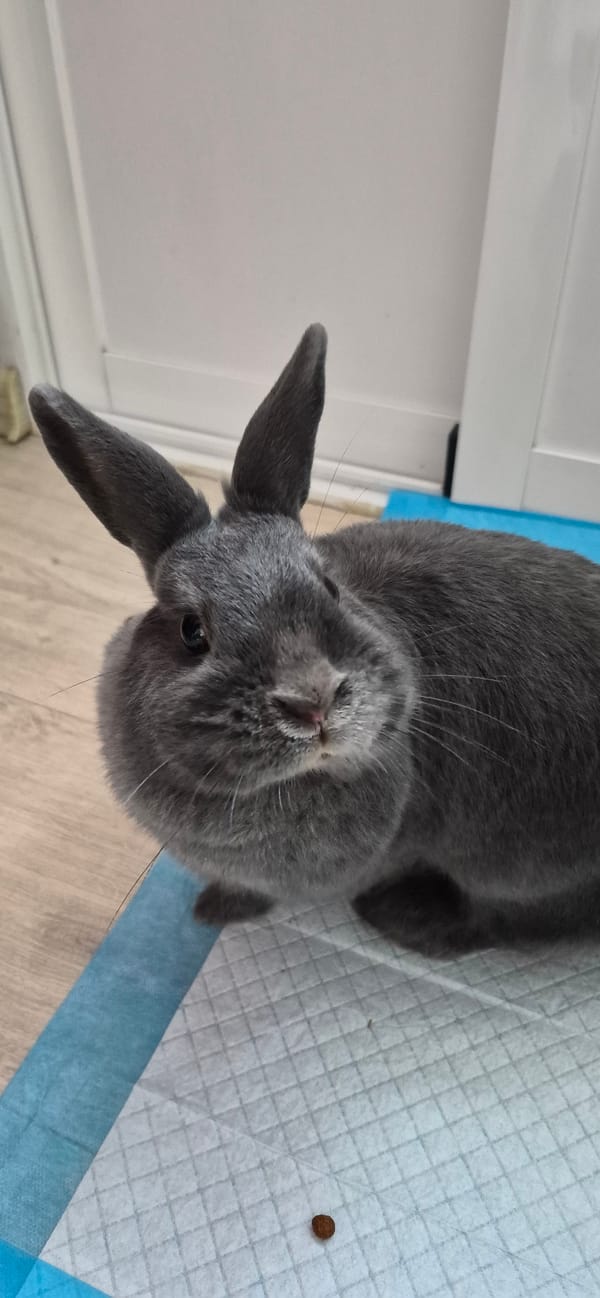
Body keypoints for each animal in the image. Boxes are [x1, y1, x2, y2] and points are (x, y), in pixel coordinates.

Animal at [29, 323, 600, 956]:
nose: (315, 701)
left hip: (513, 863)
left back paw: (396, 916)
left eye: (329, 585)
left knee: (507, 923)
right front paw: (216, 905)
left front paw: (217, 909)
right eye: (191, 631)